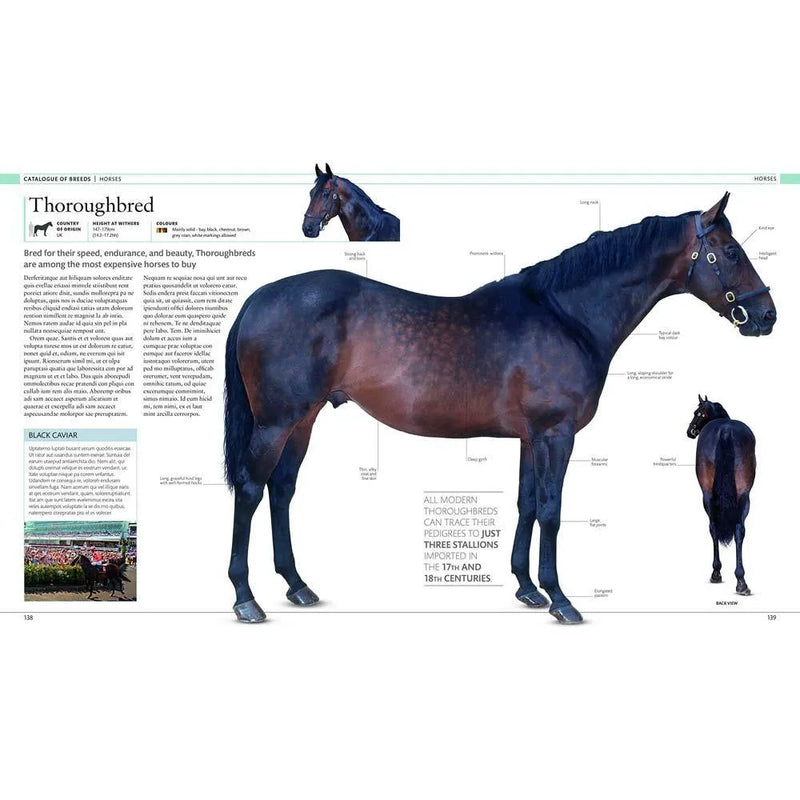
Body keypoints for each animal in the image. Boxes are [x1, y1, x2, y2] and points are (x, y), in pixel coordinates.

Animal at [687, 395, 757, 595]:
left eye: (699, 413)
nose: (690, 431)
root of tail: (726, 431)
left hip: (707, 496)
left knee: (714, 527)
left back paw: (717, 573)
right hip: (744, 495)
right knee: (739, 529)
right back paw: (741, 582)